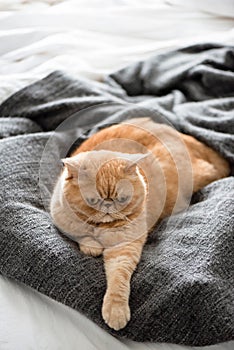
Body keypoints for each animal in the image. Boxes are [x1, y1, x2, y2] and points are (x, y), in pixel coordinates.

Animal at [49, 117, 230, 330]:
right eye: (92, 201)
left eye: (122, 198)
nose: (108, 206)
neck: (103, 227)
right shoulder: (60, 217)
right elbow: (81, 234)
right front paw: (91, 246)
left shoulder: (124, 248)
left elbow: (119, 279)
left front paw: (116, 311)